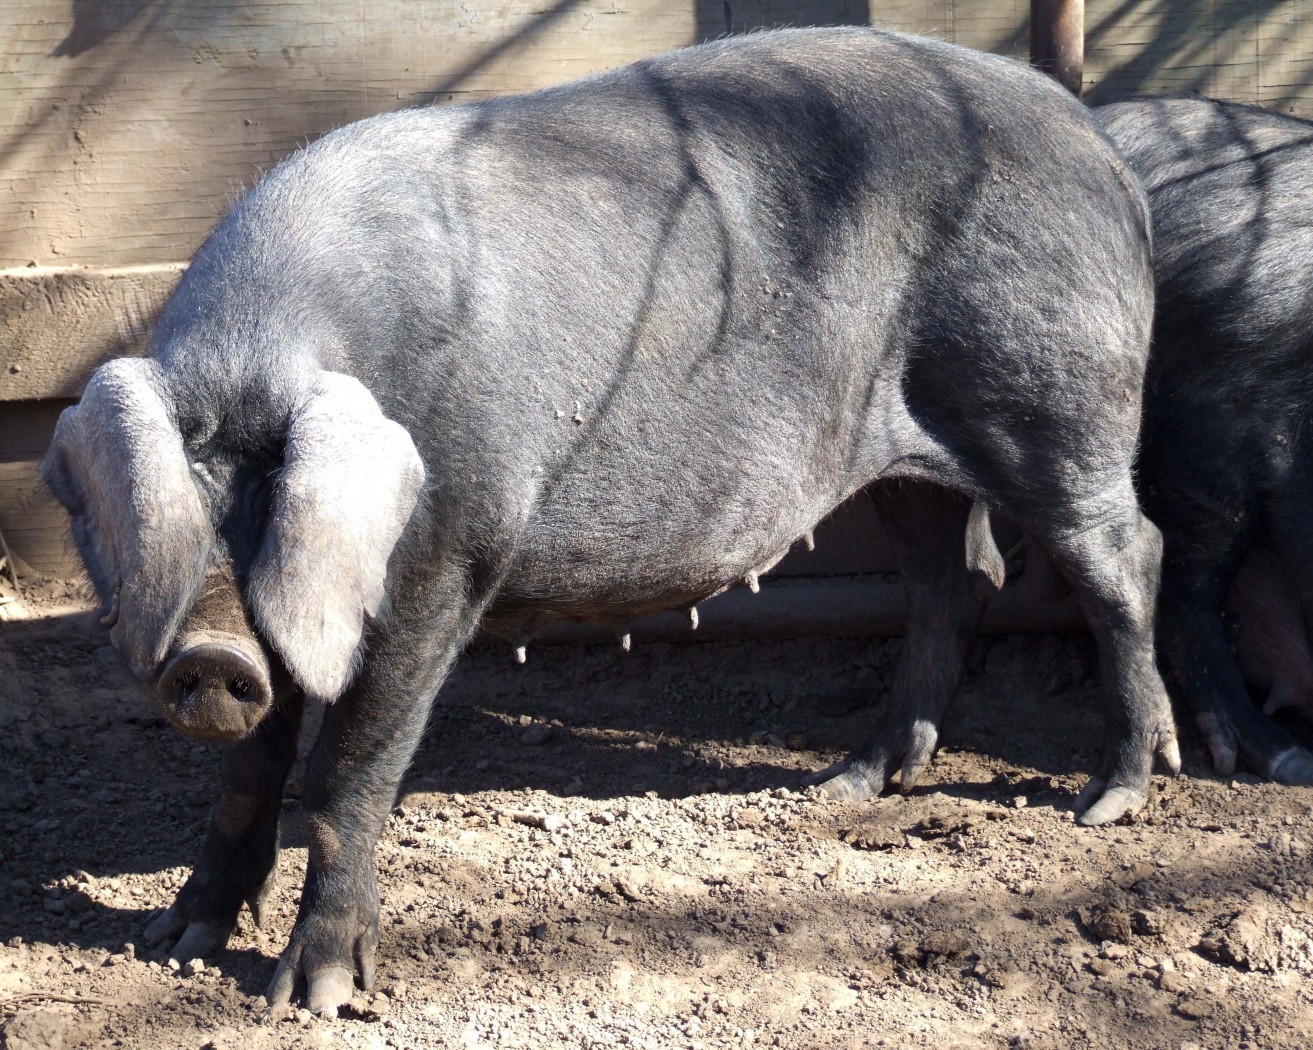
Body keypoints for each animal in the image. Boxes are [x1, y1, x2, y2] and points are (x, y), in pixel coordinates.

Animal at [42, 28, 1176, 1015]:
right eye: (190, 510)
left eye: (278, 505)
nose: (211, 656)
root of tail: (1091, 139)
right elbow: (250, 772)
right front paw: (175, 943)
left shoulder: (450, 552)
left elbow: (344, 774)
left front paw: (310, 998)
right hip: (903, 458)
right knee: (952, 580)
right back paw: (848, 787)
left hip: (1053, 396)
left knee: (1122, 554)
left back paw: (1111, 798)